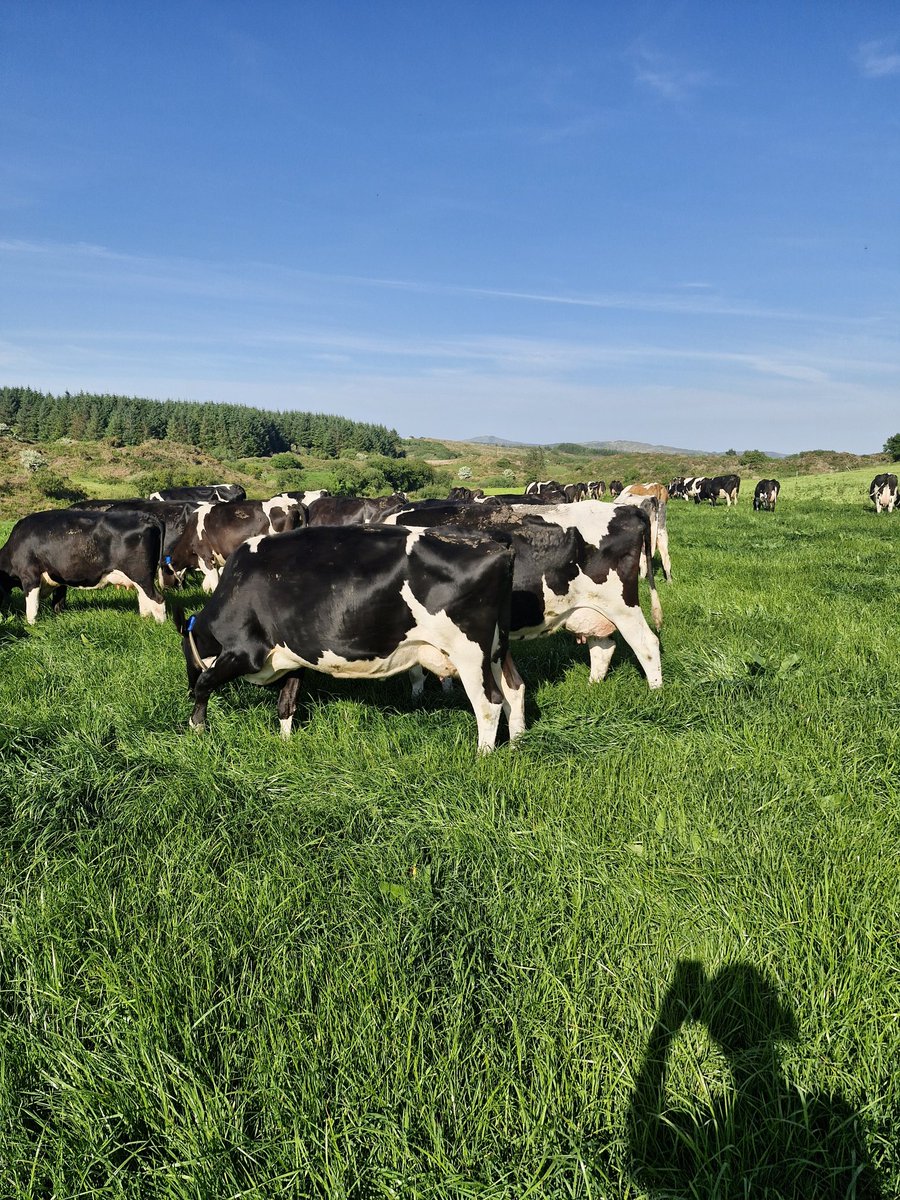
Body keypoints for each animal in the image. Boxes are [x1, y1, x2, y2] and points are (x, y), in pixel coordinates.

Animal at [0, 509, 166, 624]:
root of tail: (145, 517)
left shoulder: (29, 576)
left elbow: (31, 607)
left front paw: (31, 626)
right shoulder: (59, 577)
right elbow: (58, 603)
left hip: (140, 574)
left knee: (157, 599)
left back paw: (159, 625)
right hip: (141, 578)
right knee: (144, 599)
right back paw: (144, 621)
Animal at [174, 525, 524, 753]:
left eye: (184, 654)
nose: (184, 688)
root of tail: (495, 544)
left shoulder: (244, 651)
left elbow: (206, 683)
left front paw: (196, 729)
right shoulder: (293, 655)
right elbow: (286, 704)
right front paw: (286, 744)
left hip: (469, 652)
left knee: (489, 703)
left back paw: (482, 757)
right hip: (497, 649)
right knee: (514, 689)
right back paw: (517, 744)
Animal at [385, 501, 662, 690]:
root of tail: (626, 508)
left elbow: (415, 669)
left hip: (622, 606)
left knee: (646, 644)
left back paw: (655, 692)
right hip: (590, 608)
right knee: (603, 646)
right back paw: (591, 687)